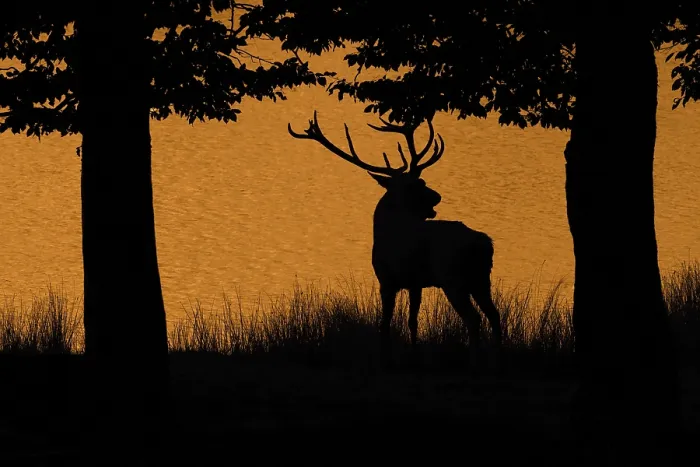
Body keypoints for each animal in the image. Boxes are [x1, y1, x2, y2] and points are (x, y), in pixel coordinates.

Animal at [288, 111, 502, 367]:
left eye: (421, 181)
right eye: (415, 184)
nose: (437, 197)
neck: (383, 229)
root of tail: (484, 244)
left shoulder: (386, 279)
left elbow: (385, 324)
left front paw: (384, 357)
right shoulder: (414, 283)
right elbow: (412, 321)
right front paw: (414, 355)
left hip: (453, 278)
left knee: (474, 319)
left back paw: (474, 361)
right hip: (481, 279)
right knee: (495, 315)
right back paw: (500, 357)